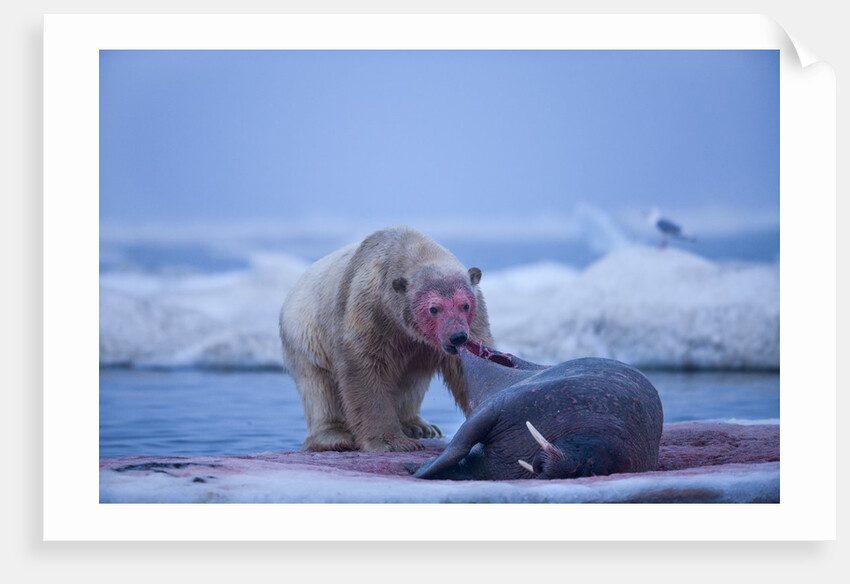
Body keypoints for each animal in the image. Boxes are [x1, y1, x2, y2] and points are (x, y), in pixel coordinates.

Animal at [279, 226, 495, 452]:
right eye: (434, 308)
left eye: (465, 305)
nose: (457, 337)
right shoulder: (369, 311)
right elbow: (365, 370)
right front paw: (393, 443)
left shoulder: (474, 320)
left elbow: (469, 369)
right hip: (305, 336)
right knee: (317, 388)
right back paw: (334, 436)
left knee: (413, 380)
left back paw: (420, 426)